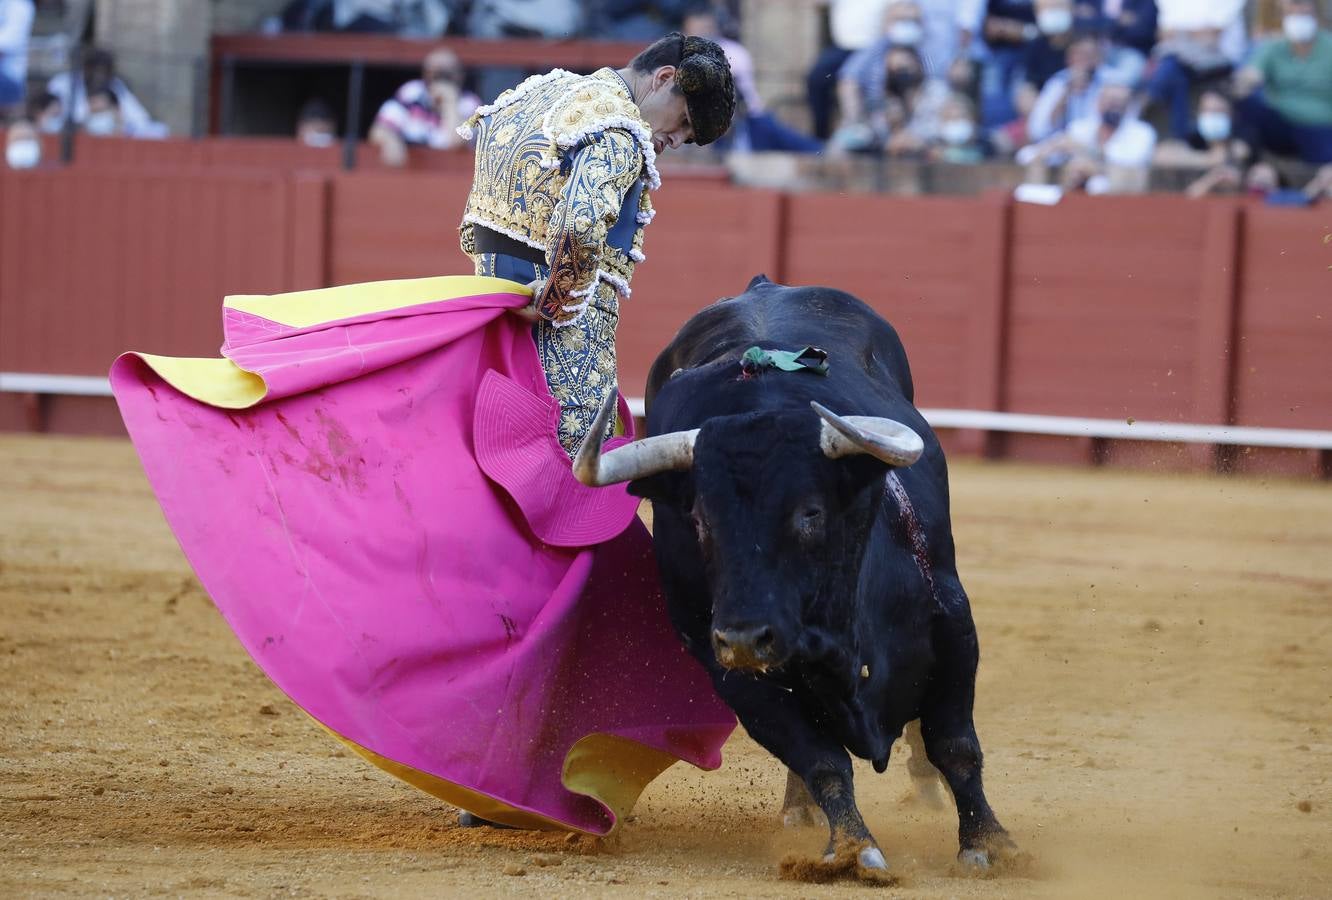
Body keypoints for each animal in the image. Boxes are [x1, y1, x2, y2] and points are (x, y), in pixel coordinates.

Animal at [578, 278, 1012, 873]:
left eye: (810, 512)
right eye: (700, 519)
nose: (744, 636)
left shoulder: (952, 622)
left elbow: (955, 745)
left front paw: (988, 843)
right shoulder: (731, 672)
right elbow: (821, 760)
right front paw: (855, 849)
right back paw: (799, 809)